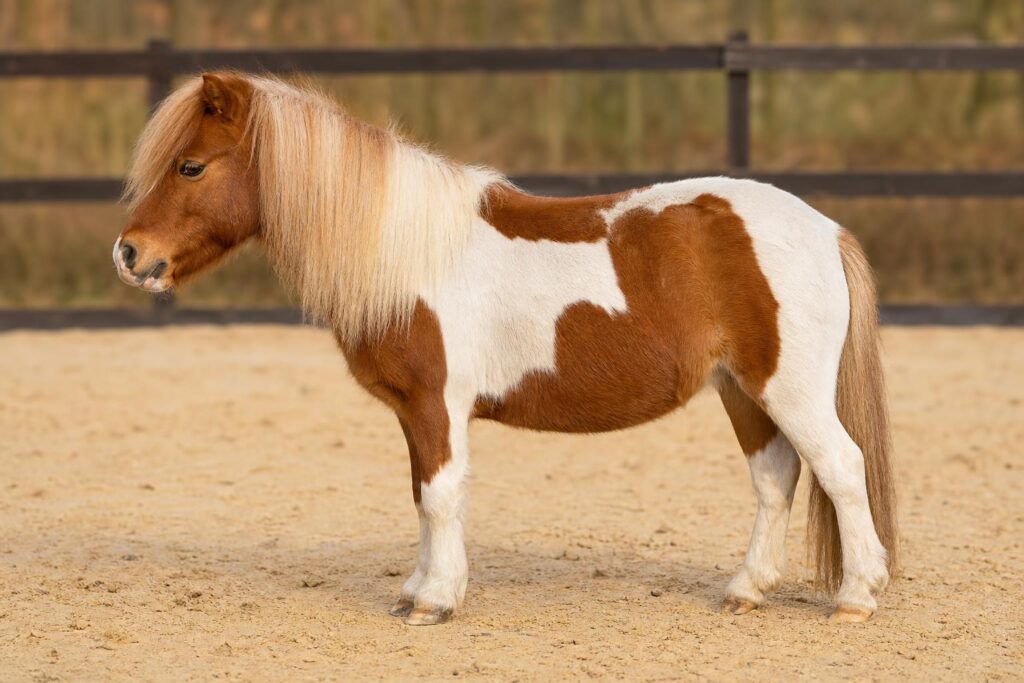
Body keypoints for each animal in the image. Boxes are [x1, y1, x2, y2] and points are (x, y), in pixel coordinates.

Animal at [113, 71, 898, 626]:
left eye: (190, 166)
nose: (129, 254)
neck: (408, 252)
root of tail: (826, 228)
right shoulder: (415, 412)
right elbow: (421, 494)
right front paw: (417, 589)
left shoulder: (437, 404)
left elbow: (439, 496)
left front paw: (435, 601)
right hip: (742, 388)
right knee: (775, 477)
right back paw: (745, 590)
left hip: (788, 388)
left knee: (841, 466)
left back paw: (856, 596)